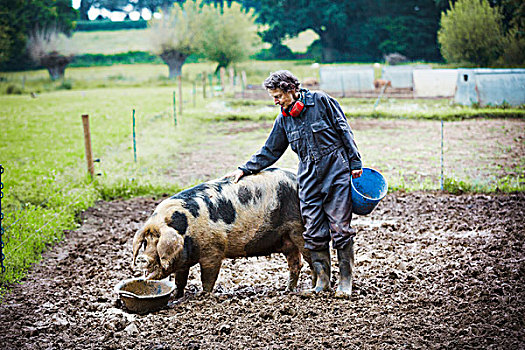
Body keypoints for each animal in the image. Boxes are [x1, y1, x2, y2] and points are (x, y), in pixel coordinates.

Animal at [132, 168, 312, 296]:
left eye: (158, 242)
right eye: (146, 242)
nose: (142, 258)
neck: (185, 230)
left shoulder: (213, 250)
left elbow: (207, 277)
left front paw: (203, 296)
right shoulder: (183, 260)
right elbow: (180, 279)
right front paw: (176, 296)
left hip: (298, 229)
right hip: (286, 240)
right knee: (296, 263)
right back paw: (287, 291)